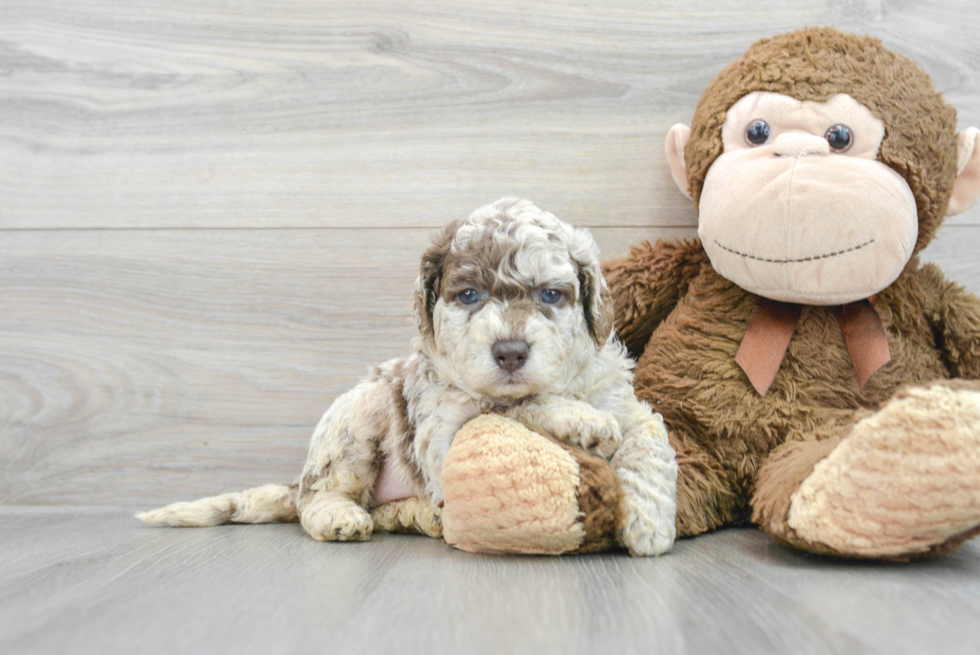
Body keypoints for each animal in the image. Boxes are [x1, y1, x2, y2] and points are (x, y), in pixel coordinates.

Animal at [138, 197, 676, 556]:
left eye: (550, 295)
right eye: (469, 296)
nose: (509, 352)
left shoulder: (627, 403)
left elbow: (649, 441)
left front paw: (648, 523)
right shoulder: (444, 436)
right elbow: (508, 404)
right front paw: (579, 420)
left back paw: (420, 515)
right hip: (356, 421)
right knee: (317, 497)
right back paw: (341, 516)